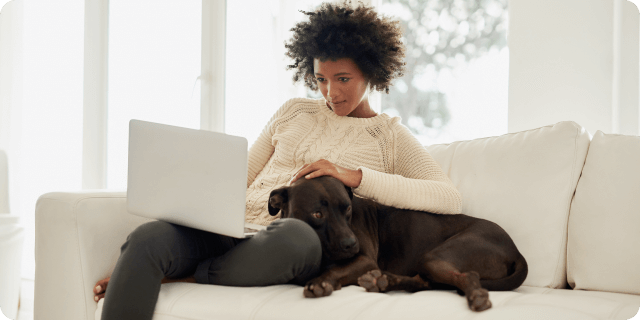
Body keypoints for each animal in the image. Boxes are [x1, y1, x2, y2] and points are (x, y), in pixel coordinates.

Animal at [268, 176, 528, 312]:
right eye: (317, 214)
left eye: (347, 209)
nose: (351, 244)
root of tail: (516, 251)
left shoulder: (364, 261)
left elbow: (336, 270)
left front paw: (320, 282)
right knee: (426, 282)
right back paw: (384, 282)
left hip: (435, 256)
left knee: (465, 277)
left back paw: (477, 298)